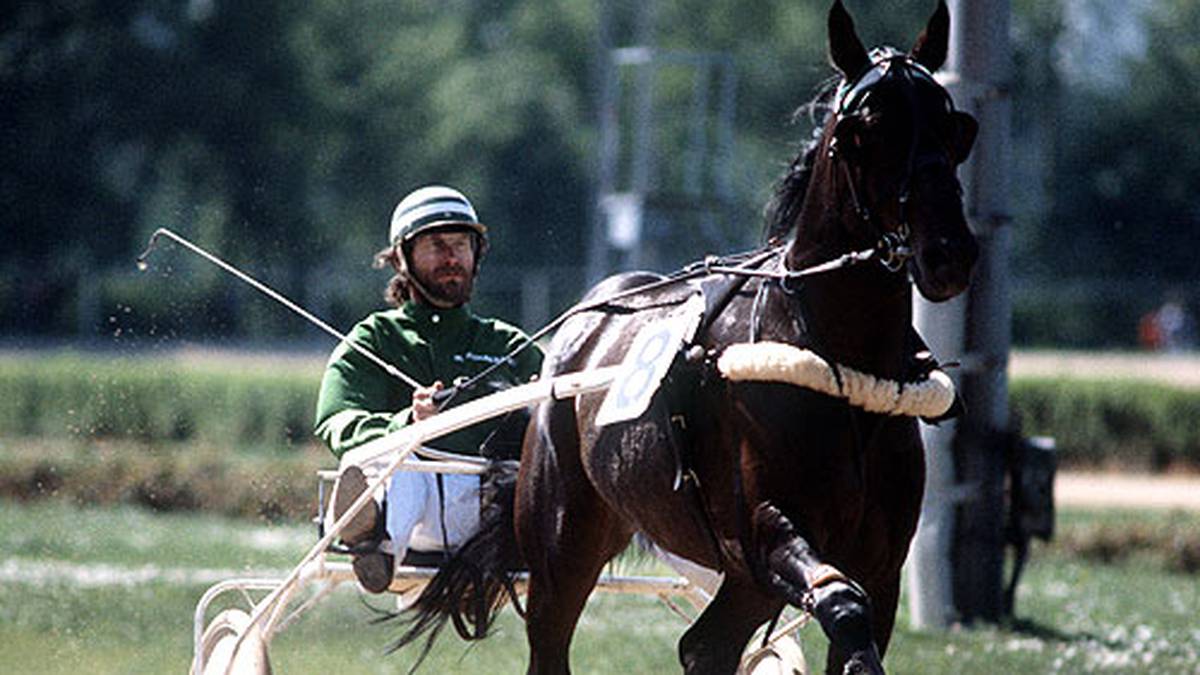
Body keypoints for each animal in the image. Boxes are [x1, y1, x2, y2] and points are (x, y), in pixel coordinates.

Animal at [393, 2, 974, 667]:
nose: (949, 252)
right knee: (555, 637)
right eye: (865, 129)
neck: (840, 364)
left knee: (704, 646)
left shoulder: (879, 564)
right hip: (564, 538)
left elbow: (855, 616)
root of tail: (581, 323)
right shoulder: (771, 529)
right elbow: (841, 603)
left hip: (736, 574)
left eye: (953, 123)